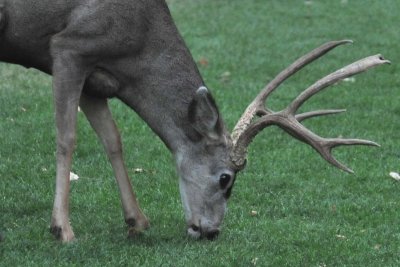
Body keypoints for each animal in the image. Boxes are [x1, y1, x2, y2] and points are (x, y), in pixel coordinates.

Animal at [0, 0, 388, 243]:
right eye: (225, 178)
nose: (211, 231)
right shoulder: (69, 48)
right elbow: (67, 137)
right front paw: (62, 229)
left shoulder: (97, 80)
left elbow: (113, 140)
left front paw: (137, 221)